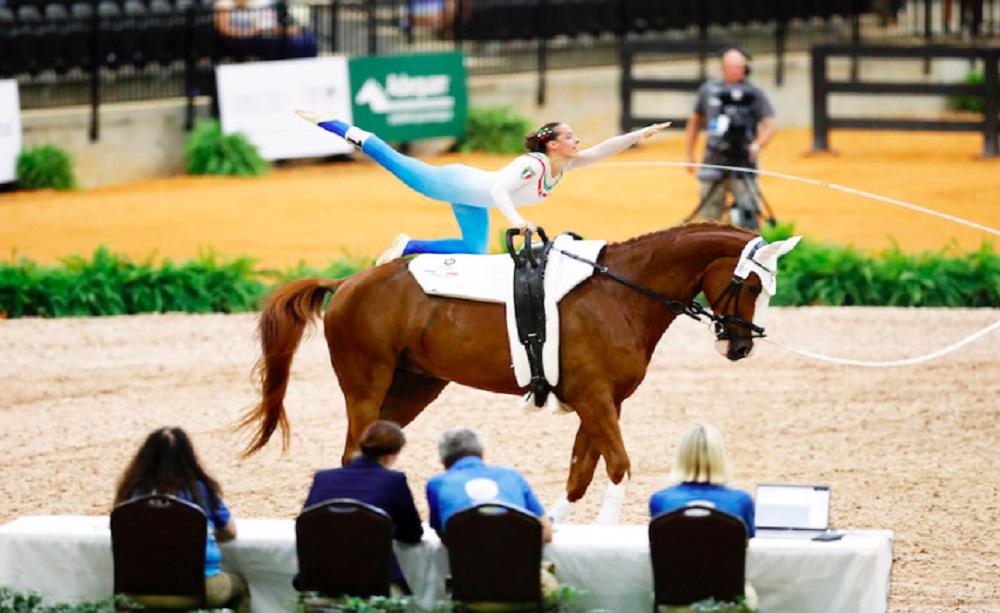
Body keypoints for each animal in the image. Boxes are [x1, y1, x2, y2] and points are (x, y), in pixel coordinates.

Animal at [238, 225, 800, 520]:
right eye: (752, 285)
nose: (740, 346)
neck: (620, 292)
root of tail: (349, 282)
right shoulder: (596, 399)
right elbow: (618, 465)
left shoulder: (603, 402)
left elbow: (580, 473)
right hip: (367, 385)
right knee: (353, 450)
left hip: (414, 388)